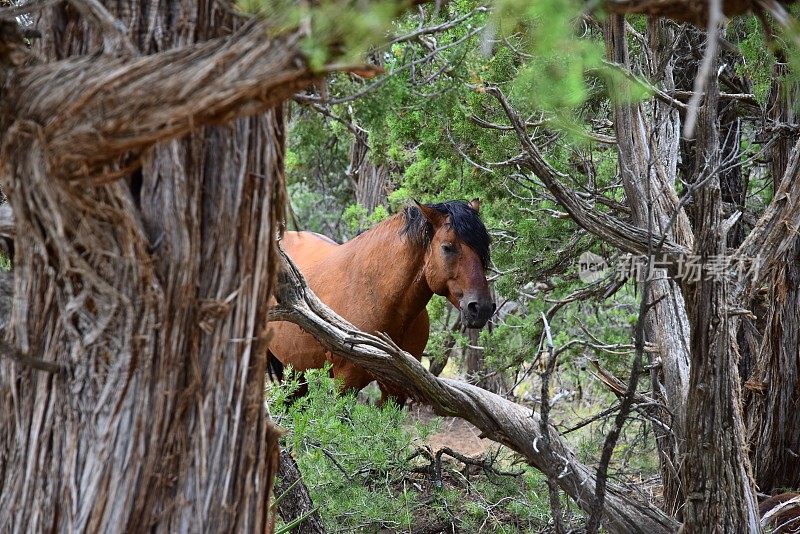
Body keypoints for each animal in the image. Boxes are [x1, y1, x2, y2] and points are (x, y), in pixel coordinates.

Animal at [268, 201, 494, 406]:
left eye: (484, 248)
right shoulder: (346, 382)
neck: (377, 295)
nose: (481, 308)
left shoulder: (398, 388)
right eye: (447, 247)